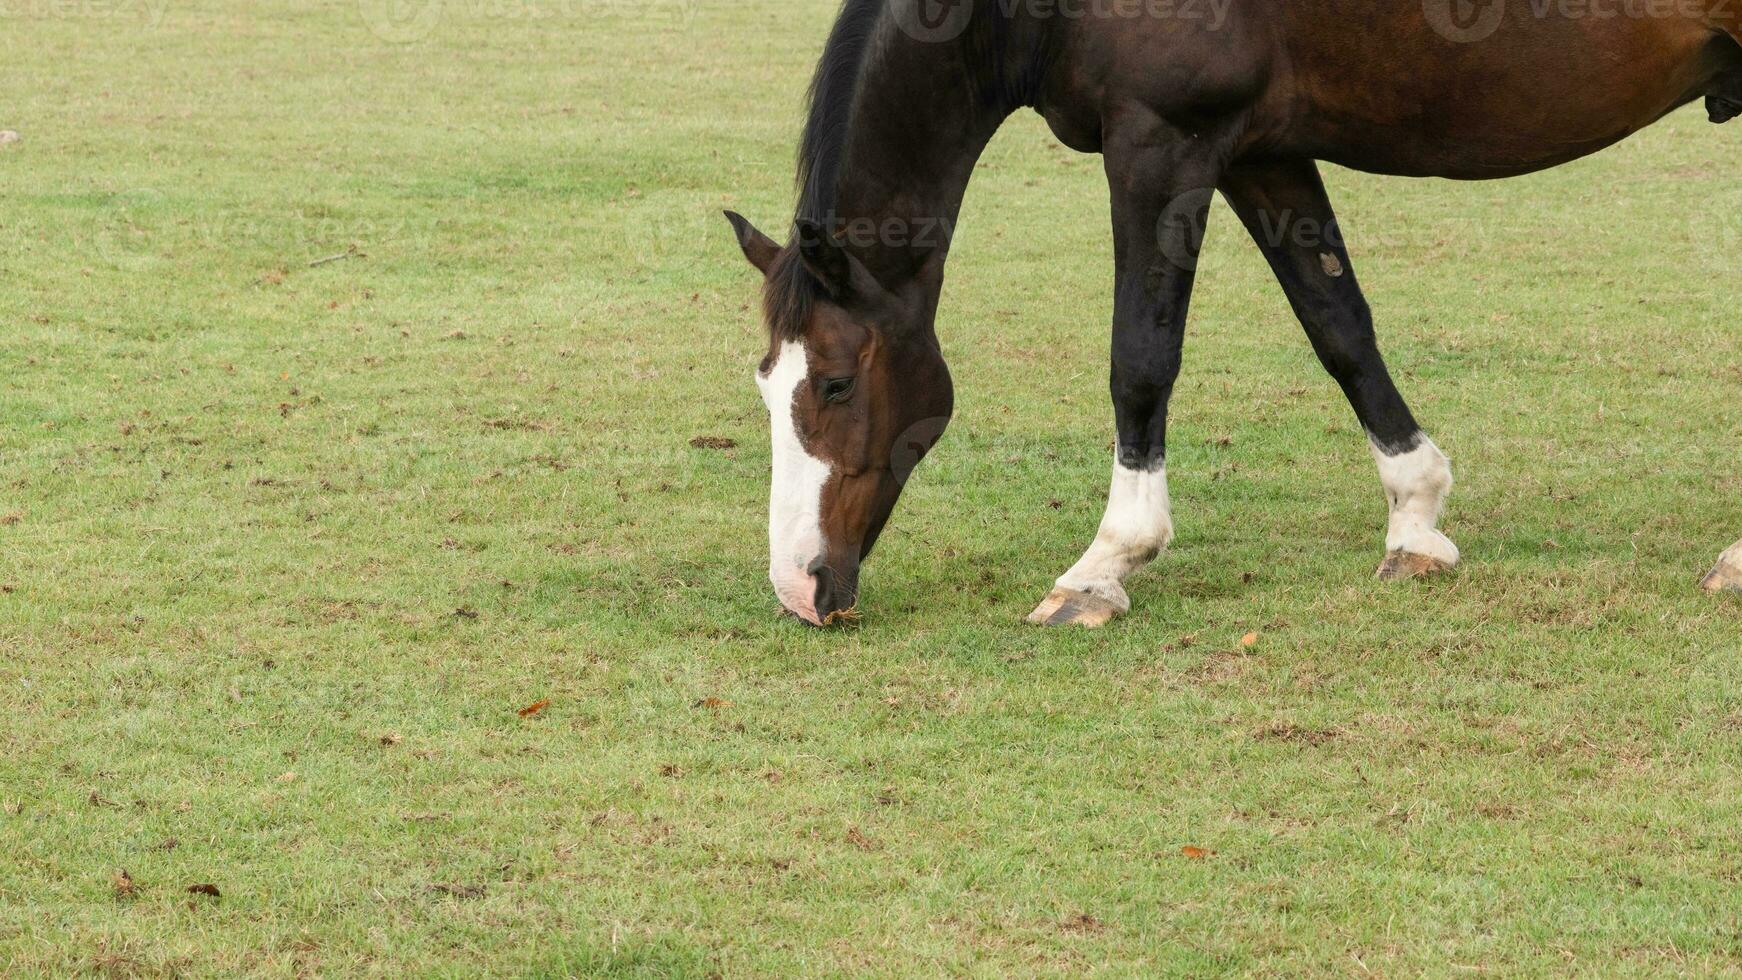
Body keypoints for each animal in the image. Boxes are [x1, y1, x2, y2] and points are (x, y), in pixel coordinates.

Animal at [721, 0, 1742, 630]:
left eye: (836, 383)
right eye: (769, 385)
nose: (800, 587)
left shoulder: (1160, 143)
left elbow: (1140, 360)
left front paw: (1105, 565)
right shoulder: (1263, 154)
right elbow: (1338, 324)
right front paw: (1415, 520)